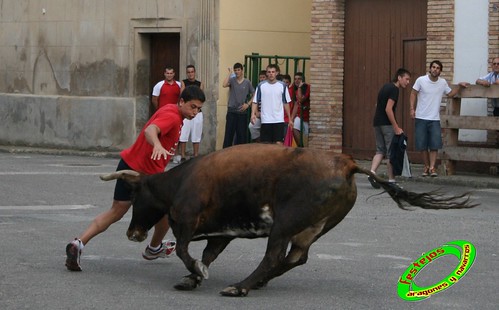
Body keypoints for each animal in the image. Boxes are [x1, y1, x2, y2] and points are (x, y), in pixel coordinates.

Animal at [100, 144, 476, 296]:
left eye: (136, 197)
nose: (133, 233)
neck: (181, 180)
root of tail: (345, 163)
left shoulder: (187, 222)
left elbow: (184, 251)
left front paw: (194, 274)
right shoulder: (222, 232)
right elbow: (206, 254)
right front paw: (193, 278)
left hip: (284, 224)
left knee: (273, 257)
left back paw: (241, 287)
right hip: (311, 227)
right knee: (296, 257)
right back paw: (255, 283)